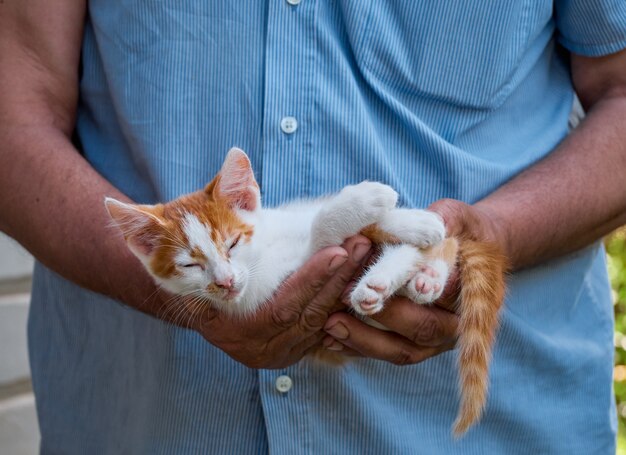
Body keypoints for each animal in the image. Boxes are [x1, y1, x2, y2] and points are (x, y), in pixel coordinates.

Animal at [106, 148, 508, 436]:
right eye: (190, 266)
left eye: (232, 243)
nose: (224, 282)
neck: (265, 252)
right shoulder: (277, 286)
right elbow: (322, 234)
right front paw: (364, 206)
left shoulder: (289, 219)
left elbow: (361, 223)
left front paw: (405, 218)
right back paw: (387, 285)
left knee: (443, 247)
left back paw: (426, 269)